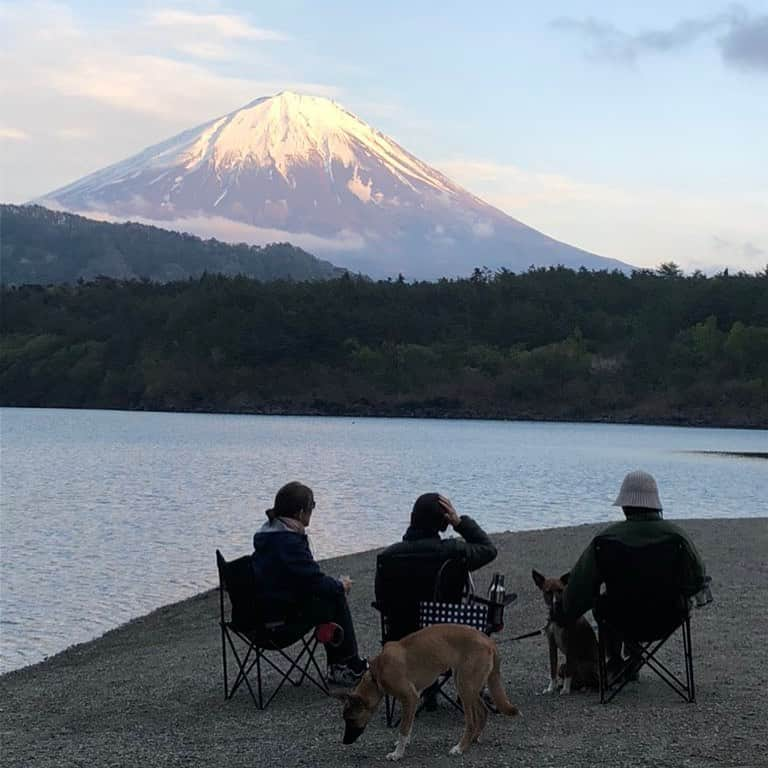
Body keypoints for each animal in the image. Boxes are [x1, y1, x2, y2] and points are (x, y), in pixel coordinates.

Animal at [332, 624, 520, 760]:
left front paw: (398, 754)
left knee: (472, 720)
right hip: (468, 685)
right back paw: (475, 738)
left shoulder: (410, 697)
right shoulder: (414, 698)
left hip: (465, 686)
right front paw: (402, 745)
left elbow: (403, 728)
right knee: (483, 710)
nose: (344, 742)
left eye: (351, 719)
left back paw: (460, 747)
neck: (376, 673)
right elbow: (408, 724)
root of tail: (489, 641)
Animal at [532, 568, 604, 696]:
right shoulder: (552, 644)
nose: (556, 603)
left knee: (595, 682)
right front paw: (551, 688)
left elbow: (569, 671)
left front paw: (565, 689)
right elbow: (552, 668)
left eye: (560, 590)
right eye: (548, 592)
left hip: (587, 666)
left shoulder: (571, 644)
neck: (557, 616)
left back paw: (587, 688)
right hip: (562, 666)